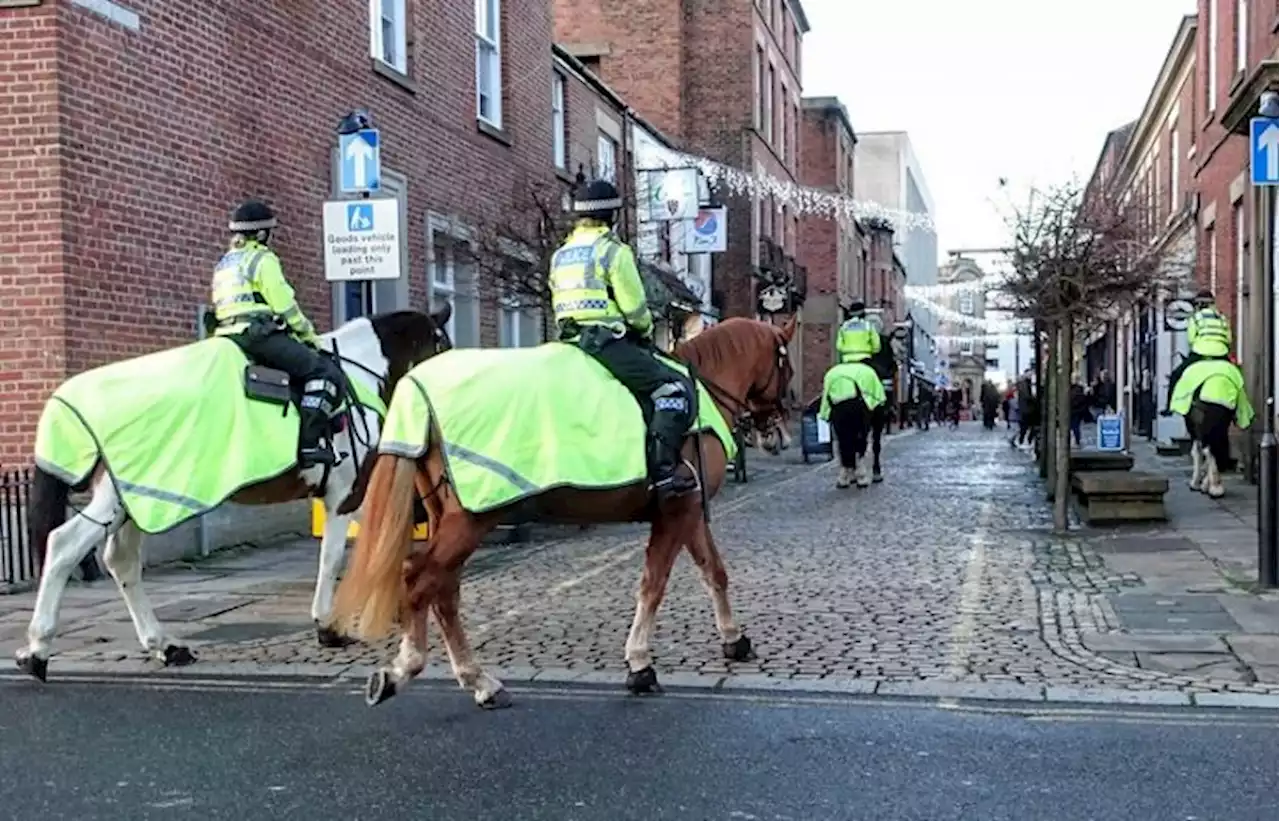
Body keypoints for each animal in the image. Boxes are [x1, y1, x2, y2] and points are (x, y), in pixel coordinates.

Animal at [17, 306, 453, 676]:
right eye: (444, 347)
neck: (360, 374)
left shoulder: (356, 494)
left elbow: (390, 545)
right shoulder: (345, 493)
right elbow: (333, 559)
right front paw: (329, 626)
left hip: (136, 497)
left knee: (121, 561)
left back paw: (164, 646)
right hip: (118, 499)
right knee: (64, 546)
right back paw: (36, 650)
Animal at [330, 313, 788, 707]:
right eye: (784, 362)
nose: (777, 432)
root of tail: (418, 386)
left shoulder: (688, 509)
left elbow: (714, 571)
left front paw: (734, 639)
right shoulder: (678, 510)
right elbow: (654, 585)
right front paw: (640, 664)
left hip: (450, 516)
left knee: (442, 590)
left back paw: (479, 682)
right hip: (471, 518)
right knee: (420, 580)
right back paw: (403, 670)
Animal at [1172, 358, 1249, 499]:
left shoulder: (1193, 428)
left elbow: (1196, 451)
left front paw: (1196, 483)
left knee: (1208, 450)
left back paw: (1213, 488)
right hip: (1221, 423)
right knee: (1216, 449)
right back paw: (1215, 486)